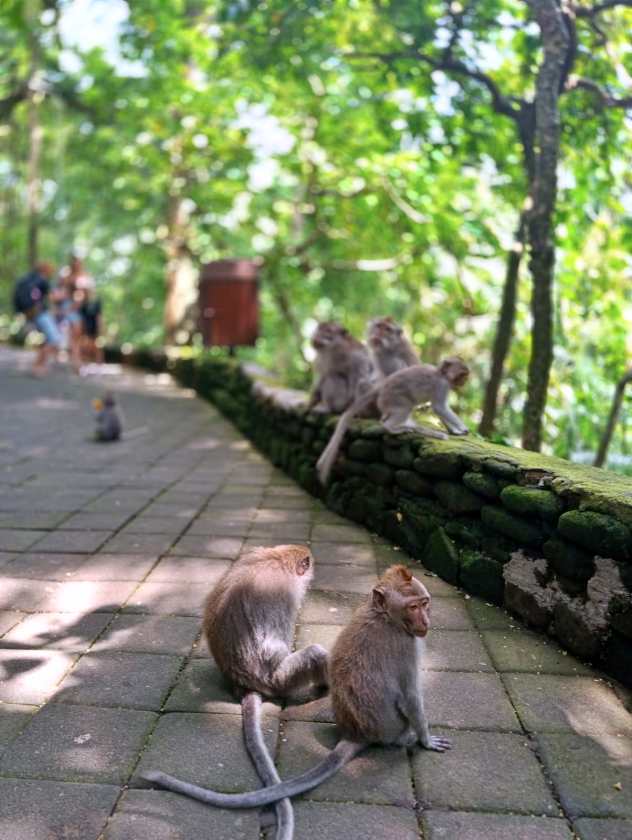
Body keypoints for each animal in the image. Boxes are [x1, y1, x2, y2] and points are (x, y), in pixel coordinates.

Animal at [142, 565, 450, 810]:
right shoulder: (407, 644)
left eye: (425, 603)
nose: (426, 621)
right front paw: (426, 740)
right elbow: (411, 696)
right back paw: (407, 739)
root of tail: (357, 732)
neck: (382, 615)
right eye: (413, 606)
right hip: (393, 729)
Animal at [315, 356, 470, 484]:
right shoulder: (441, 386)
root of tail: (382, 386)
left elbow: (440, 409)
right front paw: (463, 428)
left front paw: (455, 430)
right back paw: (393, 427)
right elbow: (439, 407)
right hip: (394, 397)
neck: (441, 374)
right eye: (462, 375)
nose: (463, 383)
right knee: (403, 409)